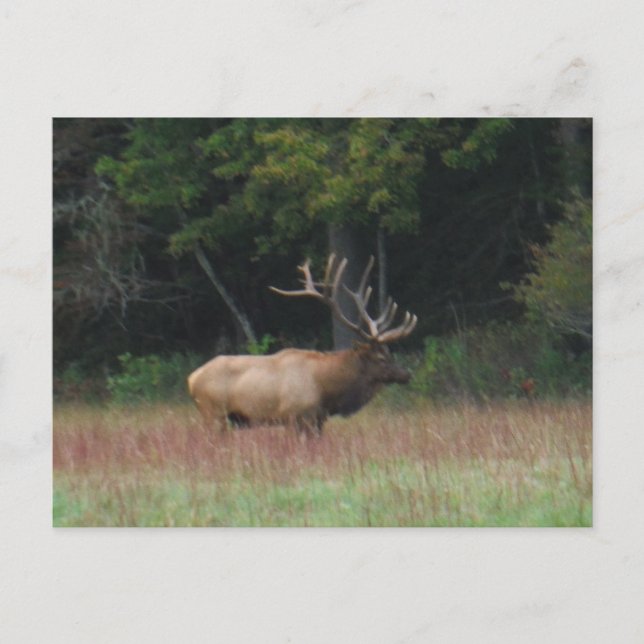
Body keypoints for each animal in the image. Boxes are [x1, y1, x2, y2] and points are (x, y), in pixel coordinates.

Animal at [187, 254, 417, 436]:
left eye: (389, 352)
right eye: (381, 357)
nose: (406, 374)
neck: (327, 390)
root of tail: (191, 379)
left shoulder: (318, 419)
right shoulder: (296, 416)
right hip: (214, 413)